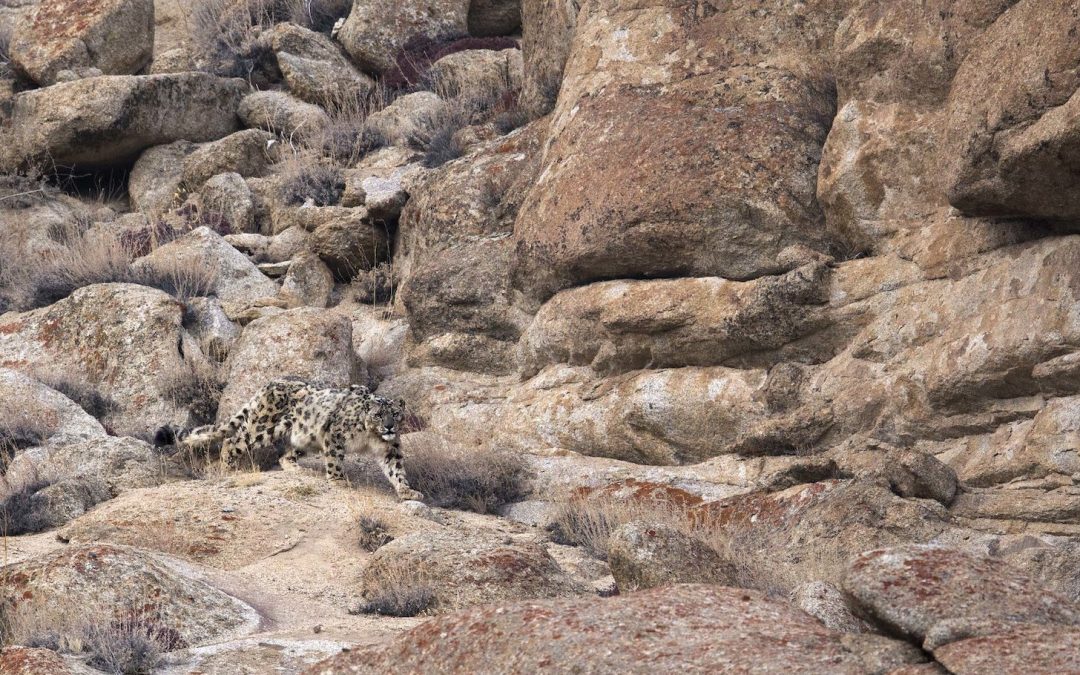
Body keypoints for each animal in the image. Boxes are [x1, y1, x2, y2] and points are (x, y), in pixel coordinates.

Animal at [154, 379, 424, 501]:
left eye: (395, 414)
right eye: (378, 414)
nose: (389, 426)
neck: (372, 437)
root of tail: (268, 384)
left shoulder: (391, 449)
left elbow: (396, 470)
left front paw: (408, 491)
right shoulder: (336, 435)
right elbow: (335, 460)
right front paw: (338, 481)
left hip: (306, 437)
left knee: (285, 455)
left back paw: (298, 469)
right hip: (264, 427)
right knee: (235, 441)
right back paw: (228, 468)